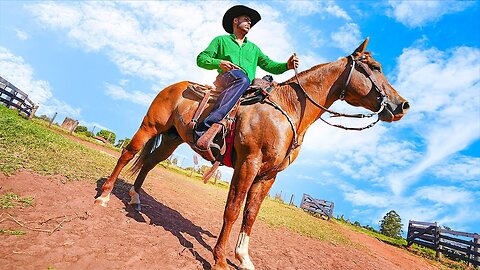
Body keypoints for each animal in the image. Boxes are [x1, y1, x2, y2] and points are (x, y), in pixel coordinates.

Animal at [94, 38, 408, 270]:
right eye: (375, 67)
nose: (402, 105)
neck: (286, 110)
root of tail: (174, 87)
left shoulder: (268, 175)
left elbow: (251, 214)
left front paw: (243, 258)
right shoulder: (248, 164)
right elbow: (233, 211)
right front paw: (220, 258)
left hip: (172, 139)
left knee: (149, 162)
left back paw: (135, 198)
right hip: (150, 126)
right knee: (128, 154)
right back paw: (105, 195)